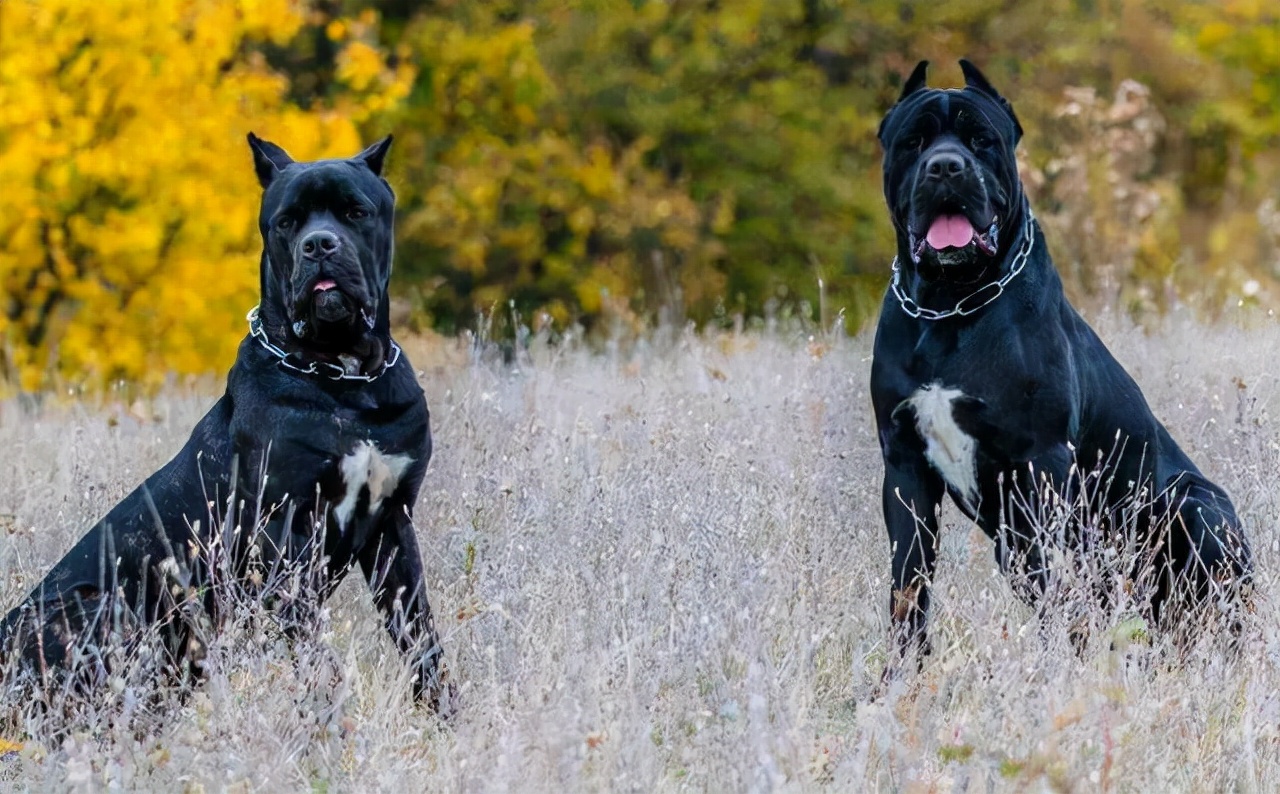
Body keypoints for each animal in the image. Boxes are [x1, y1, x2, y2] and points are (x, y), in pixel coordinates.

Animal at [0, 133, 450, 712]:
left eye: (355, 212)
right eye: (287, 222)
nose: (319, 245)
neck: (343, 376)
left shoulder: (392, 524)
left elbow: (422, 638)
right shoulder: (284, 534)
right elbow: (314, 651)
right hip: (95, 606)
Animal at [870, 60, 1249, 671]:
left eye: (982, 140)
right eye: (914, 141)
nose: (947, 166)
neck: (951, 301)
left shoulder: (1041, 460)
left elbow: (1057, 585)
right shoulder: (905, 466)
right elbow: (908, 587)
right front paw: (900, 678)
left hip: (1199, 508)